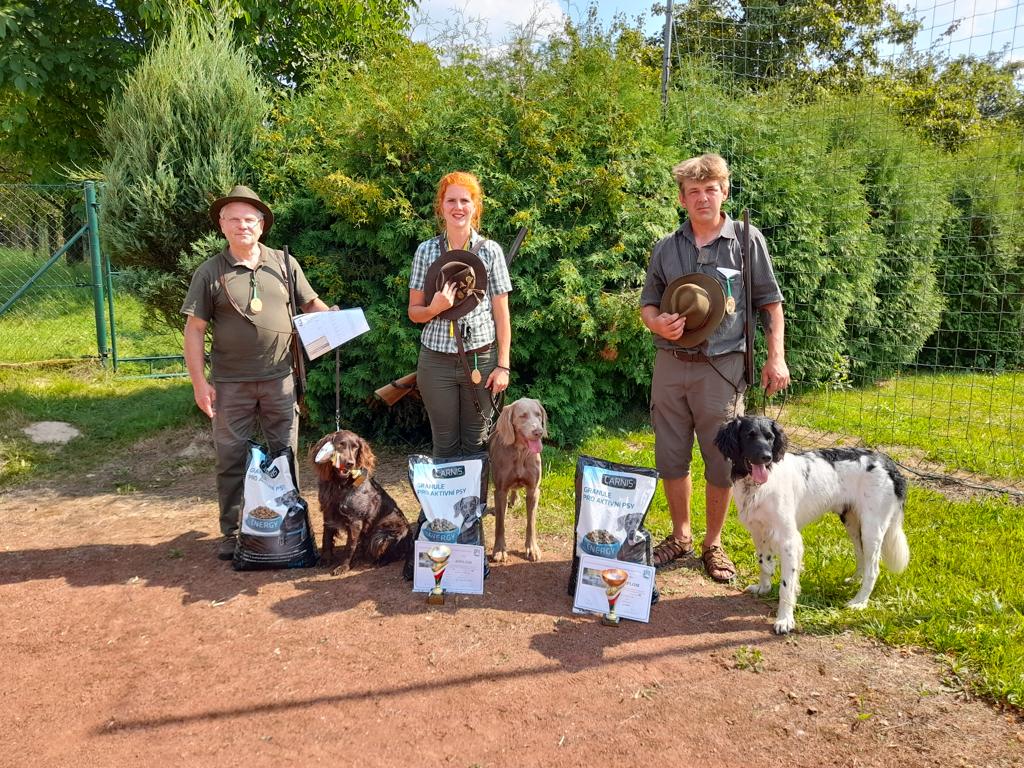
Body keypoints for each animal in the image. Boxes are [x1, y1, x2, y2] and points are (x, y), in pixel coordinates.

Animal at [307, 430, 411, 573]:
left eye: (356, 447)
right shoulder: (328, 512)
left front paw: (343, 566)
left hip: (382, 535)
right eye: (340, 445)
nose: (350, 463)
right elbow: (326, 539)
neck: (340, 485)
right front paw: (325, 560)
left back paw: (379, 561)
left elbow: (350, 547)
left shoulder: (355, 520)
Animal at [489, 399, 548, 561]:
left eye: (538, 414)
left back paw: (514, 499)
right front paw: (499, 550)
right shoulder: (500, 490)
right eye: (523, 416)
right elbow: (500, 525)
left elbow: (531, 523)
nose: (538, 432)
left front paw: (532, 548)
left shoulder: (534, 490)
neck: (521, 452)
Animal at [712, 417, 913, 634]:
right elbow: (764, 564)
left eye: (770, 437)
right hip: (852, 522)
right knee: (862, 556)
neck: (758, 486)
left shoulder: (789, 540)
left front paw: (785, 619)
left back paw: (859, 602)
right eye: (749, 436)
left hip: (872, 528)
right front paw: (763, 588)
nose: (766, 457)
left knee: (873, 569)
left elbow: (786, 585)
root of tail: (888, 462)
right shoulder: (759, 532)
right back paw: (854, 581)